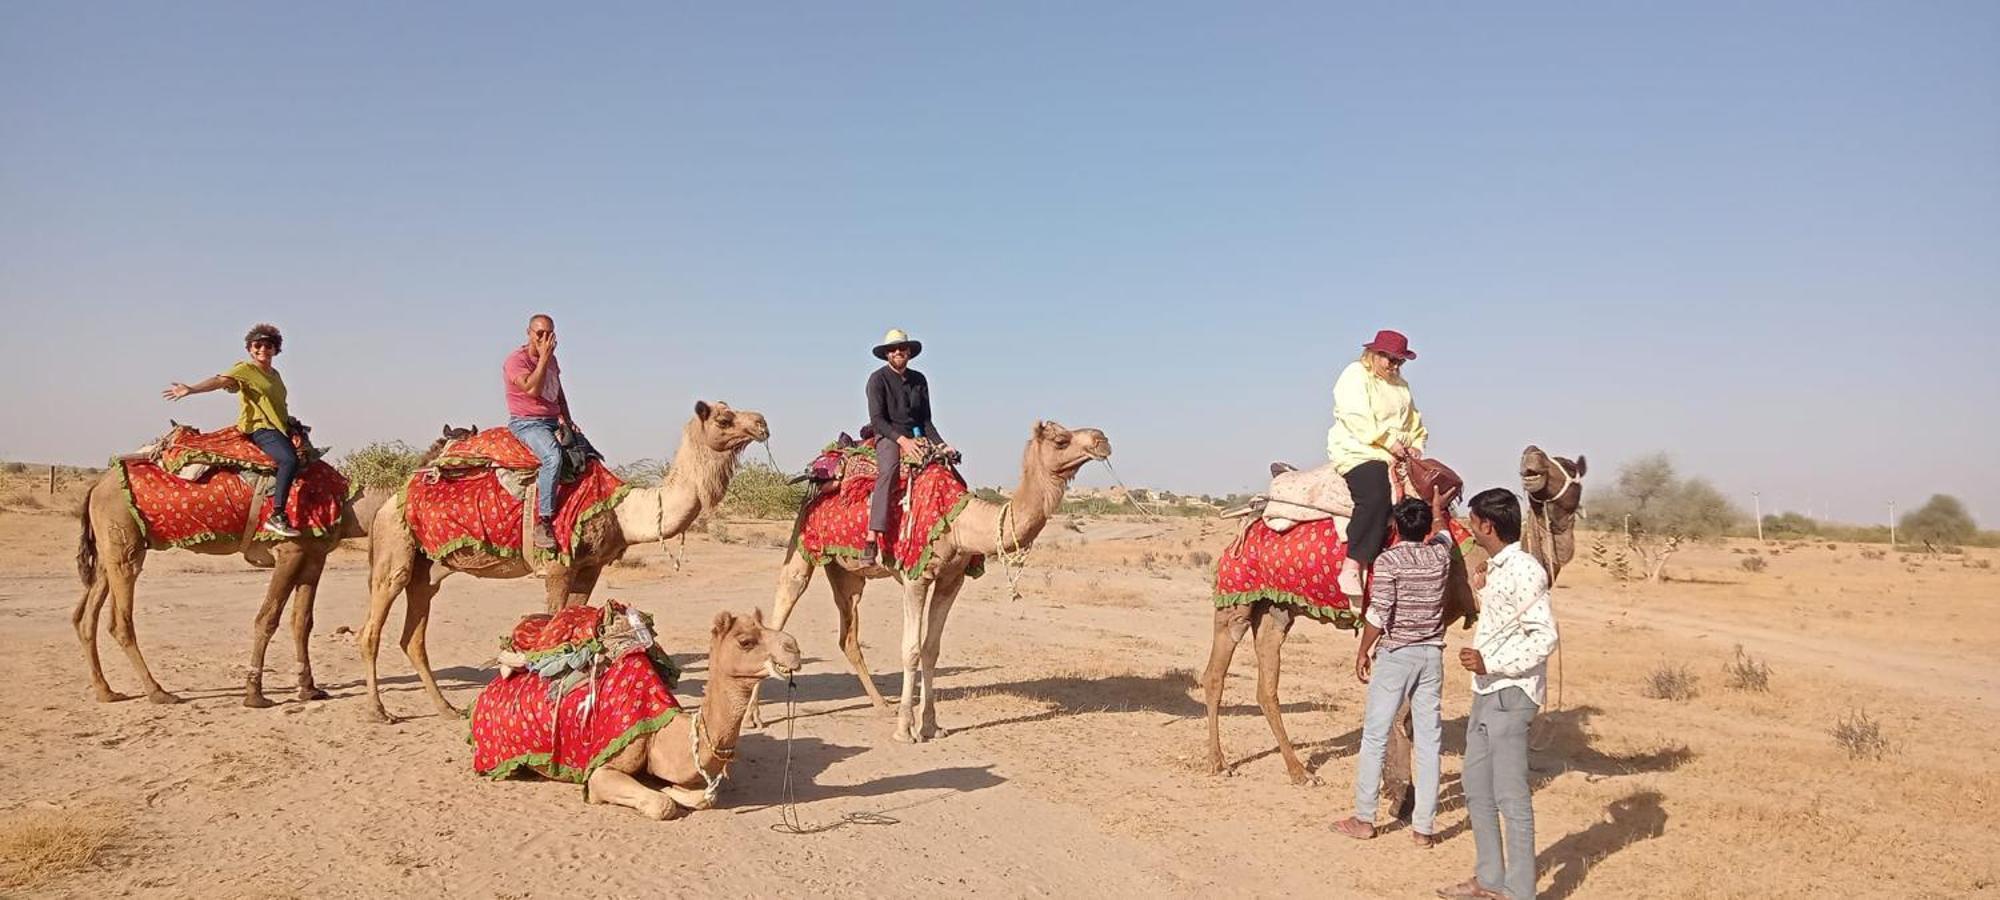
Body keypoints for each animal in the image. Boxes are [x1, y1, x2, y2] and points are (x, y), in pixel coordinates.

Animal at [360, 404, 764, 720]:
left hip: (426, 571)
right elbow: (550, 631)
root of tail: (387, 502)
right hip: (395, 551)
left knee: (413, 637)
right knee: (372, 629)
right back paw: (379, 711)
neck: (621, 512)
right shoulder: (558, 567)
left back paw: (447, 709)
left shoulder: (589, 568)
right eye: (724, 418)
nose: (761, 422)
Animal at [748, 418, 1112, 740]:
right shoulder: (916, 577)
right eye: (1061, 440)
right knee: (786, 598)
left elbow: (931, 649)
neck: (960, 521)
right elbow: (910, 649)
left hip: (847, 573)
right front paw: (905, 729)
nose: (1102, 439)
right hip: (803, 541)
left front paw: (932, 724)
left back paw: (880, 704)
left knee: (848, 633)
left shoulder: (952, 580)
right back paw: (755, 716)